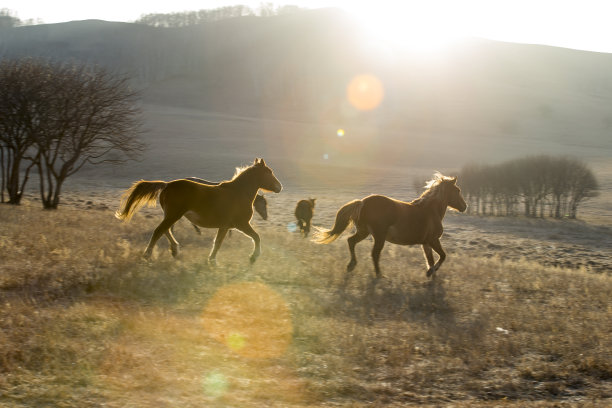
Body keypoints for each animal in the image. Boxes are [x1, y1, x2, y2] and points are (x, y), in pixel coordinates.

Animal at [116, 158, 284, 262]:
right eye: (269, 172)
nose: (279, 187)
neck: (238, 192)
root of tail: (166, 185)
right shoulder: (241, 224)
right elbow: (256, 237)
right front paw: (253, 257)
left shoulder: (225, 226)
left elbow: (217, 243)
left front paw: (212, 261)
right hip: (174, 214)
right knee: (159, 231)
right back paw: (148, 255)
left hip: (172, 215)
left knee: (165, 230)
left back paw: (175, 250)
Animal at [316, 174, 468, 278]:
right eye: (458, 190)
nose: (464, 207)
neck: (430, 211)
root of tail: (363, 202)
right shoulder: (433, 240)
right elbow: (442, 256)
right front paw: (430, 273)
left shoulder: (426, 243)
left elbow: (430, 260)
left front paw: (432, 277)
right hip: (379, 236)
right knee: (374, 254)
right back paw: (379, 275)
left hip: (364, 232)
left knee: (351, 241)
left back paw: (351, 265)